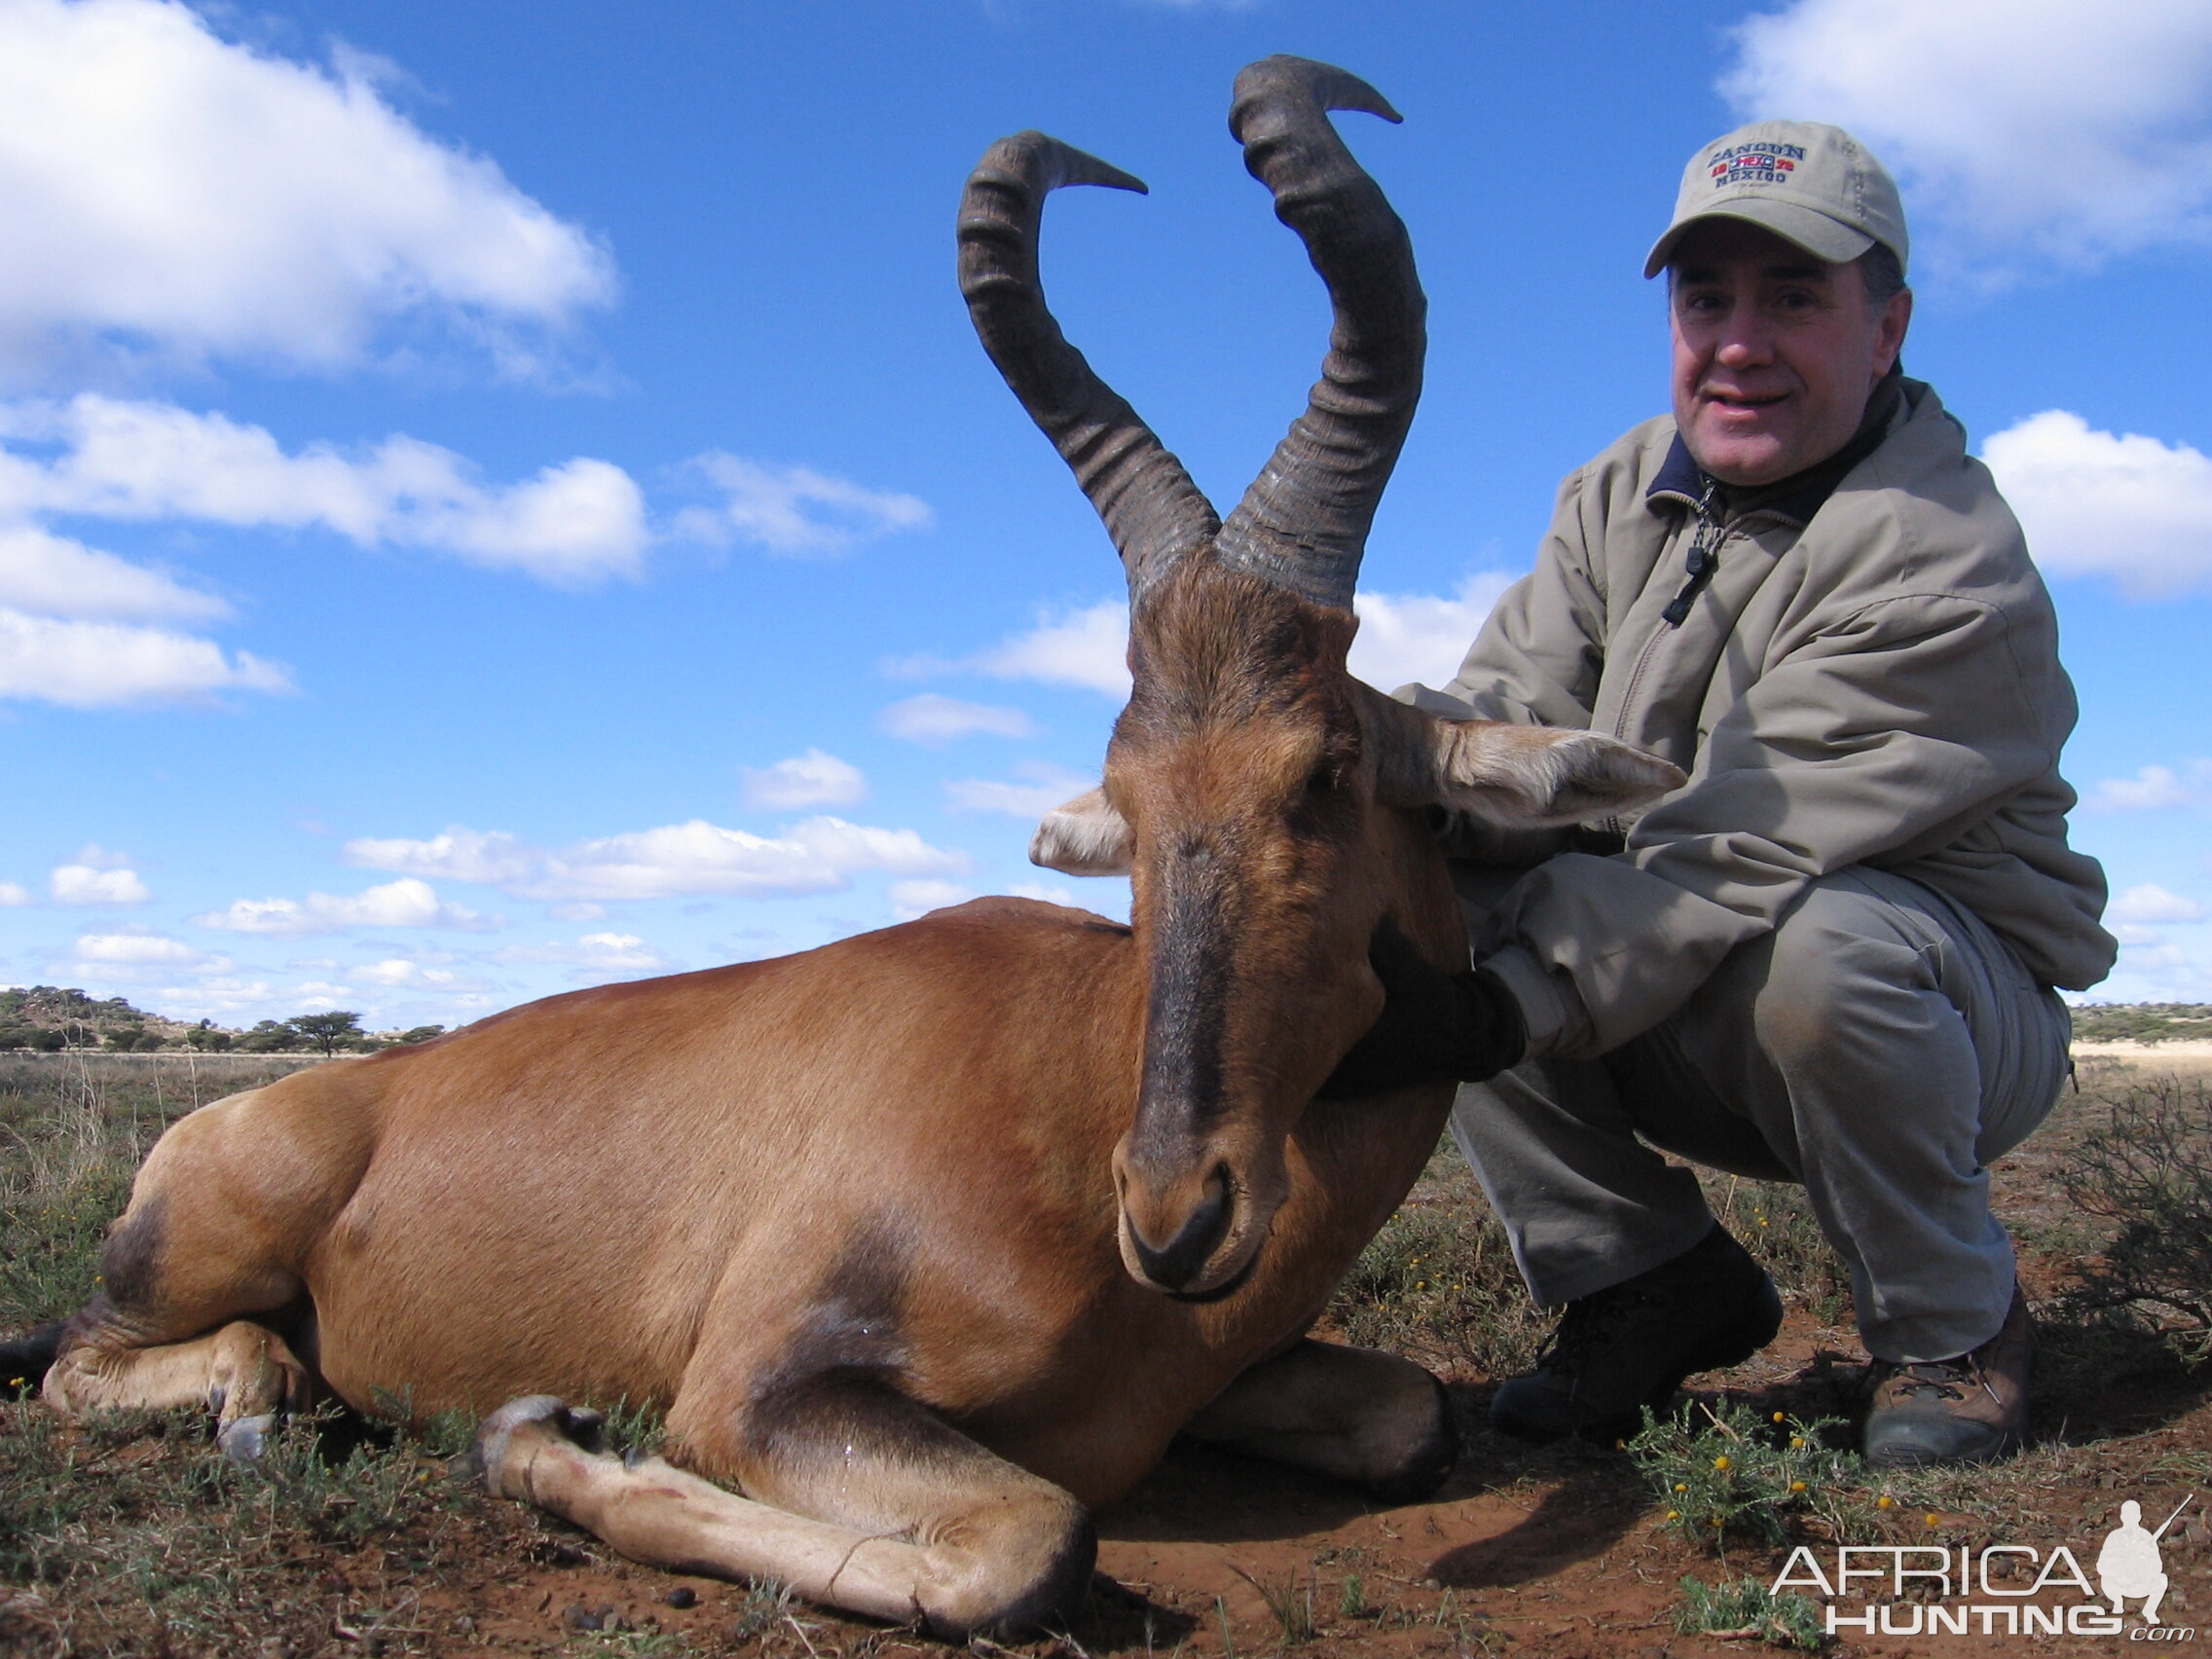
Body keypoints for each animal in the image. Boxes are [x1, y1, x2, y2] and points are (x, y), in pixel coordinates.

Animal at [13, 58, 1672, 1645]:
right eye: (1127, 797)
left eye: (1326, 766)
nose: (1177, 1214)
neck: (1071, 1077)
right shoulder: (762, 1387)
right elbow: (1028, 1546)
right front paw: (542, 1444)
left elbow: (1410, 1417)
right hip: (187, 1264)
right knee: (85, 1363)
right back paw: (256, 1409)